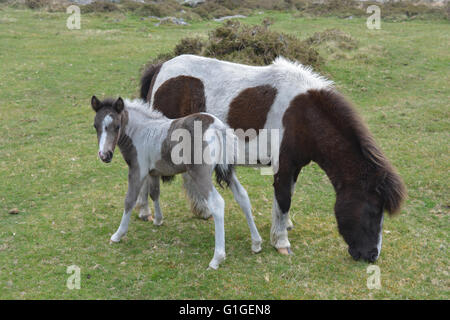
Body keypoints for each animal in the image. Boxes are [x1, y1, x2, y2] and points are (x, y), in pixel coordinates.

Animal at [139, 54, 406, 262]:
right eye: (372, 210)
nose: (371, 256)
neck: (302, 115)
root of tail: (160, 68)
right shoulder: (284, 165)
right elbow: (284, 198)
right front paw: (281, 242)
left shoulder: (295, 167)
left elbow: (287, 197)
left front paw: (283, 225)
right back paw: (144, 212)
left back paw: (200, 209)